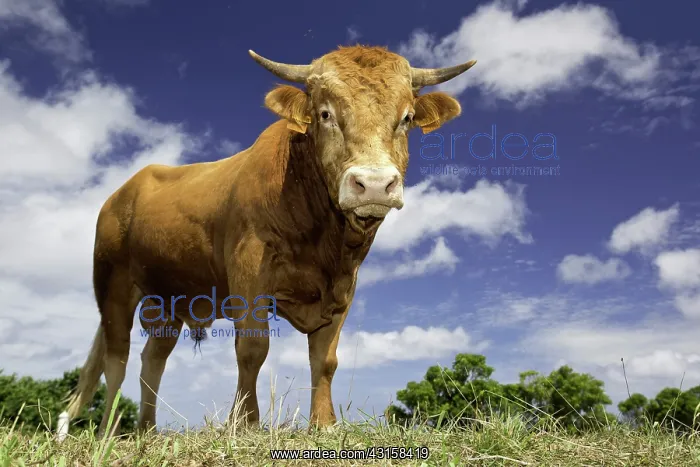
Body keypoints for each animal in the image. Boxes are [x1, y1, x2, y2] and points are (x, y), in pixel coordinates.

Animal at [64, 44, 476, 436]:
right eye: (325, 114)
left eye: (406, 118)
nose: (374, 184)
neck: (324, 240)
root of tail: (124, 190)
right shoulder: (249, 270)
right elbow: (252, 348)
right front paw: (245, 422)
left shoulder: (344, 287)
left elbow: (325, 359)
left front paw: (323, 423)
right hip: (114, 286)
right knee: (116, 361)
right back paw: (108, 430)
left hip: (167, 300)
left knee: (152, 361)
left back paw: (146, 430)